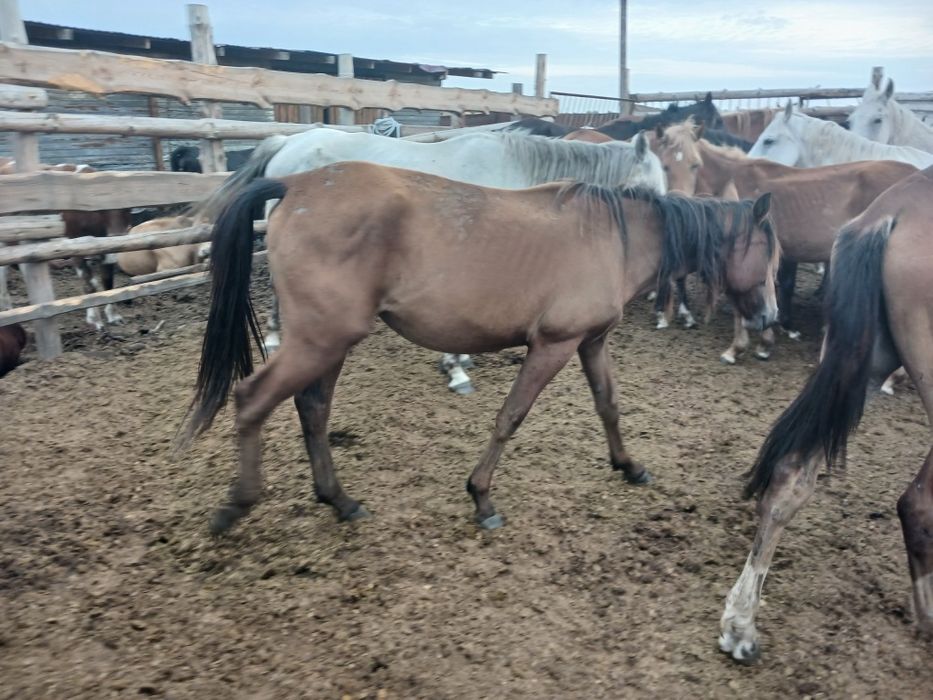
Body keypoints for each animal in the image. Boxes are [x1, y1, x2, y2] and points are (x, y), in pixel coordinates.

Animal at [182, 162, 779, 536]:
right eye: (768, 253)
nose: (771, 317)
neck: (614, 238)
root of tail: (296, 184)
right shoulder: (554, 344)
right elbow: (510, 417)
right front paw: (482, 497)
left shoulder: (591, 341)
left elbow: (609, 404)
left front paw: (629, 466)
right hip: (320, 340)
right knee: (252, 400)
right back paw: (237, 504)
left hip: (329, 343)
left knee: (313, 409)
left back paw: (340, 501)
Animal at [192, 128, 667, 395]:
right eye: (648, 194)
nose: (657, 278)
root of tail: (289, 140)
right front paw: (456, 371)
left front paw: (457, 362)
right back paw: (274, 340)